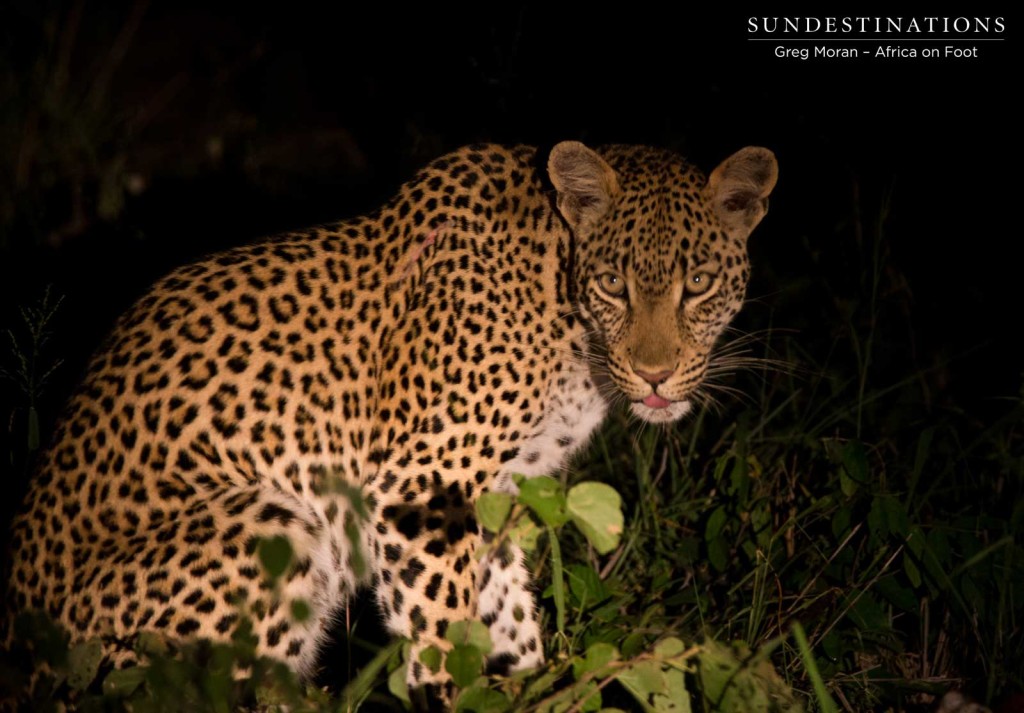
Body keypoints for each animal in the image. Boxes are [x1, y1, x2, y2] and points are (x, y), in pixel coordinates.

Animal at [2, 139, 774, 708]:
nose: (655, 375)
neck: (566, 309)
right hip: (269, 523)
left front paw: (528, 685)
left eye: (698, 283)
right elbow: (442, 636)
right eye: (614, 283)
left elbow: (506, 613)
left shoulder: (497, 492)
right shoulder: (421, 484)